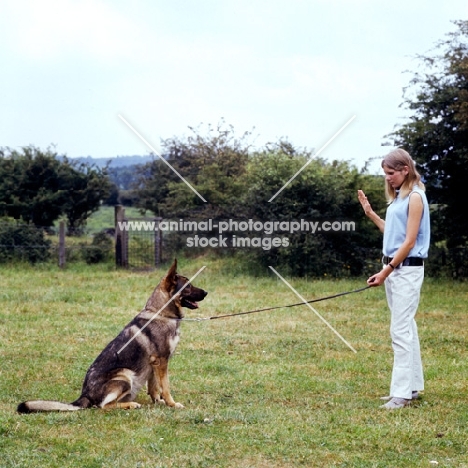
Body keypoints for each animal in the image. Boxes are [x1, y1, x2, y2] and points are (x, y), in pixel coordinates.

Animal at [17, 260, 207, 414]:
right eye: (188, 286)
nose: (206, 293)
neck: (161, 313)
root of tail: (85, 395)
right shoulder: (161, 362)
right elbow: (165, 387)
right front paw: (172, 404)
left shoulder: (155, 363)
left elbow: (154, 387)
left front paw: (159, 402)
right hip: (125, 376)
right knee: (103, 406)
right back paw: (131, 404)